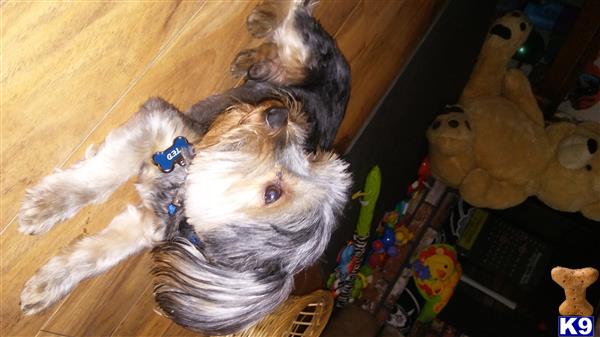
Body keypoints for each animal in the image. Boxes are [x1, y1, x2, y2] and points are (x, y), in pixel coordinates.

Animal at [18, 1, 352, 334]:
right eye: (308, 153)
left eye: (272, 193)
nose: (279, 115)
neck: (180, 193)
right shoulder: (163, 129)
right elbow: (101, 175)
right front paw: (46, 204)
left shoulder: (145, 226)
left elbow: (96, 253)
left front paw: (48, 283)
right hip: (302, 55)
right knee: (296, 20)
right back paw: (260, 27)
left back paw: (253, 60)